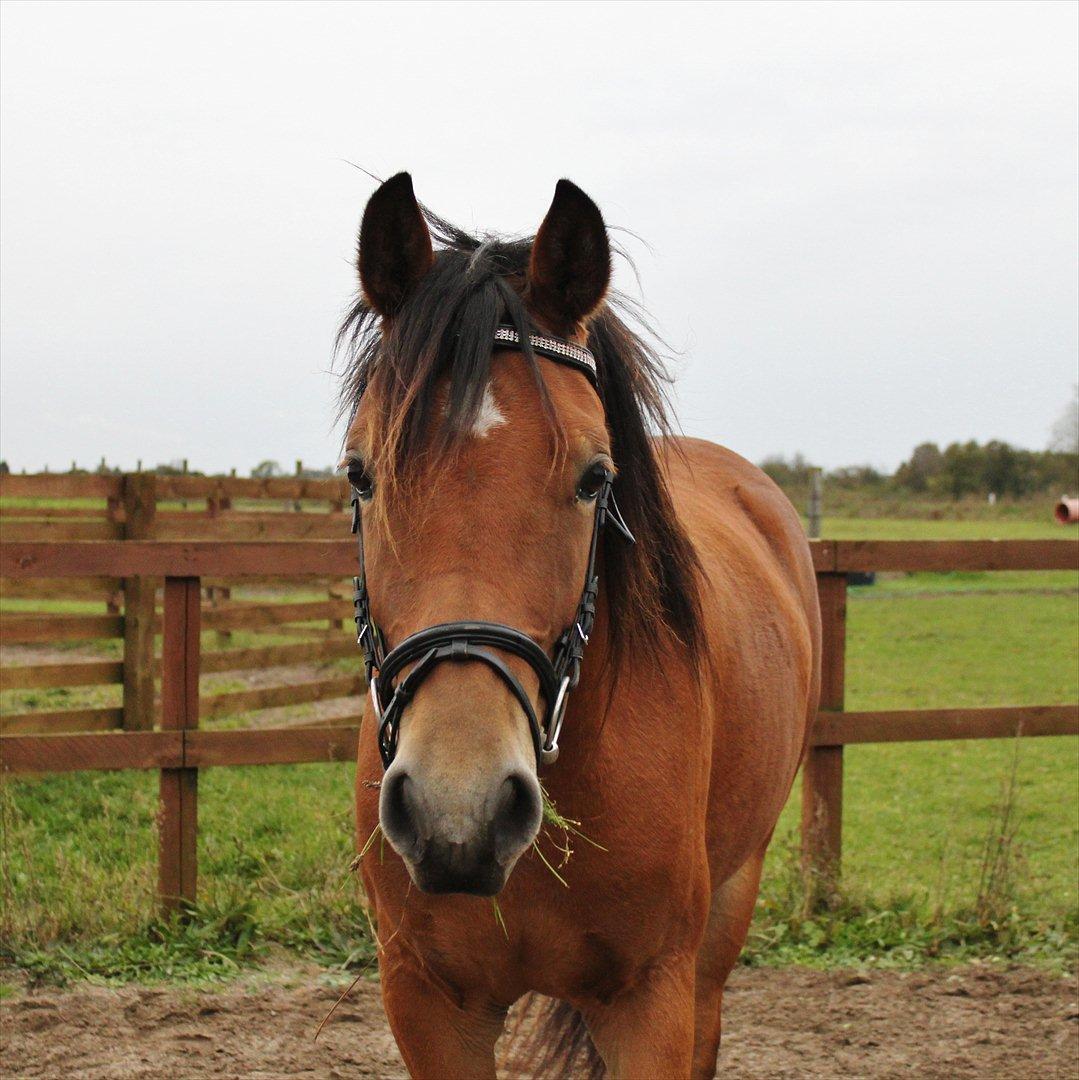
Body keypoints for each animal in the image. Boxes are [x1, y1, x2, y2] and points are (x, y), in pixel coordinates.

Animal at [341, 172, 820, 1075]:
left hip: (725, 914)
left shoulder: (649, 1000)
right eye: (359, 473)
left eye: (595, 478)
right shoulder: (427, 1003)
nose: (459, 810)